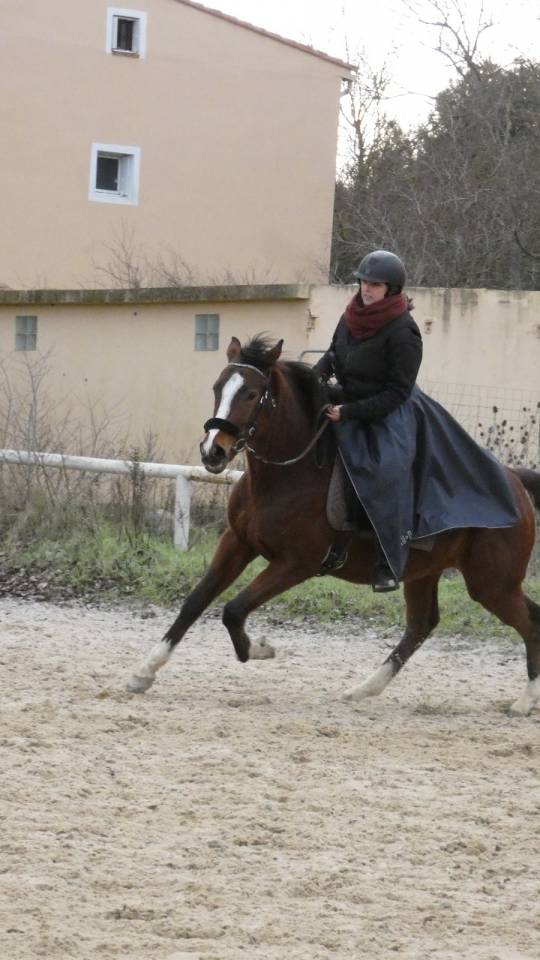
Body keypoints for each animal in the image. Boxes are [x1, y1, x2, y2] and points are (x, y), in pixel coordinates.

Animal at [128, 334, 540, 715]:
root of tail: (514, 481)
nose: (212, 451)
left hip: (491, 585)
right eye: (218, 387)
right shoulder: (237, 543)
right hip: (426, 572)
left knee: (528, 621)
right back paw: (362, 690)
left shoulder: (296, 564)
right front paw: (144, 672)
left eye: (251, 393)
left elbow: (233, 610)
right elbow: (195, 602)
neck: (289, 473)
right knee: (422, 625)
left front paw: (259, 649)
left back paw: (525, 701)